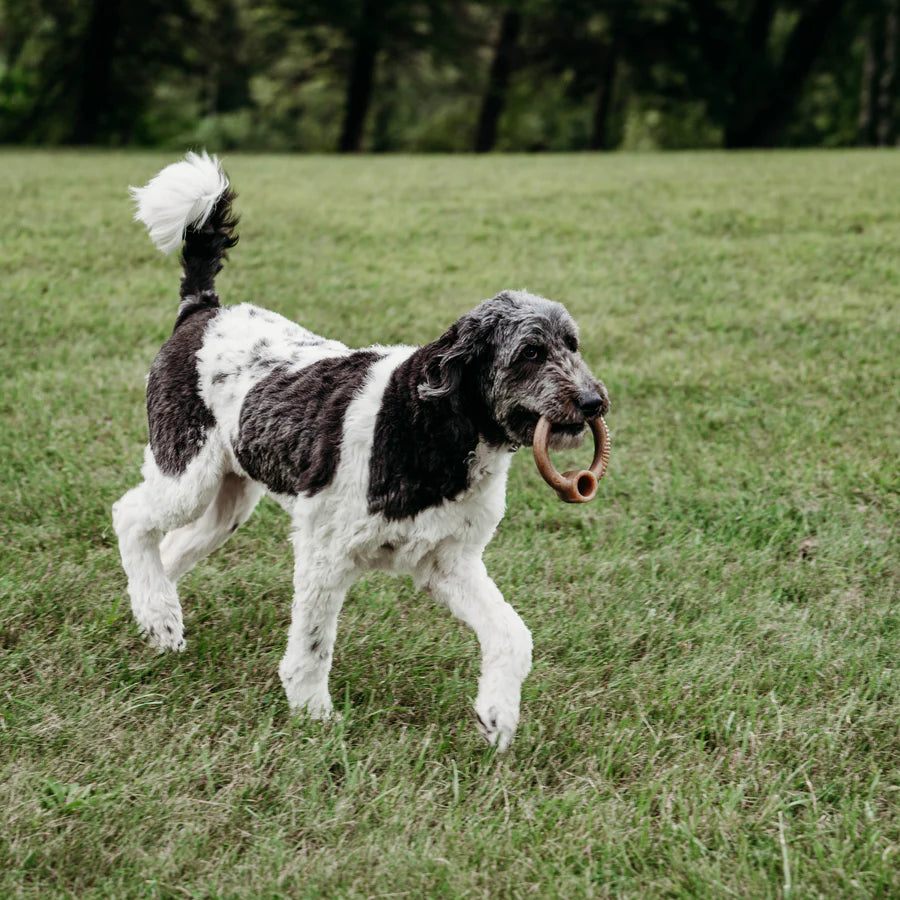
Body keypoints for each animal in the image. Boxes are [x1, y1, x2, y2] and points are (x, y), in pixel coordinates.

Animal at [110, 153, 604, 752]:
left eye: (572, 345)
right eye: (530, 352)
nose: (595, 402)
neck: (433, 428)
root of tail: (203, 311)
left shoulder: (448, 560)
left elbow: (512, 633)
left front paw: (497, 715)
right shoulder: (325, 552)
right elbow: (313, 646)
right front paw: (314, 718)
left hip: (229, 500)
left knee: (170, 546)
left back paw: (157, 617)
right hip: (187, 472)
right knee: (131, 517)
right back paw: (160, 614)